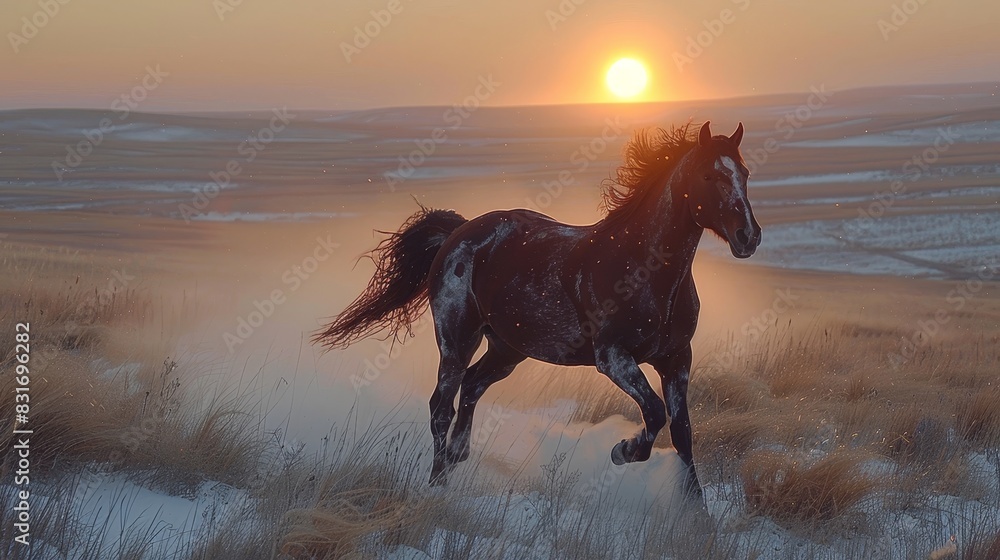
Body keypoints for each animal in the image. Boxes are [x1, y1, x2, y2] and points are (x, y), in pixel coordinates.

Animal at [313, 121, 760, 499]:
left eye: (745, 173)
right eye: (710, 177)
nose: (749, 237)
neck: (645, 270)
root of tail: (459, 232)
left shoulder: (676, 359)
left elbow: (682, 433)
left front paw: (697, 513)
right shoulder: (613, 358)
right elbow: (653, 413)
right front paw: (622, 451)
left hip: (508, 348)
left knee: (471, 387)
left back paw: (458, 457)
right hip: (457, 341)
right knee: (441, 406)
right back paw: (437, 485)